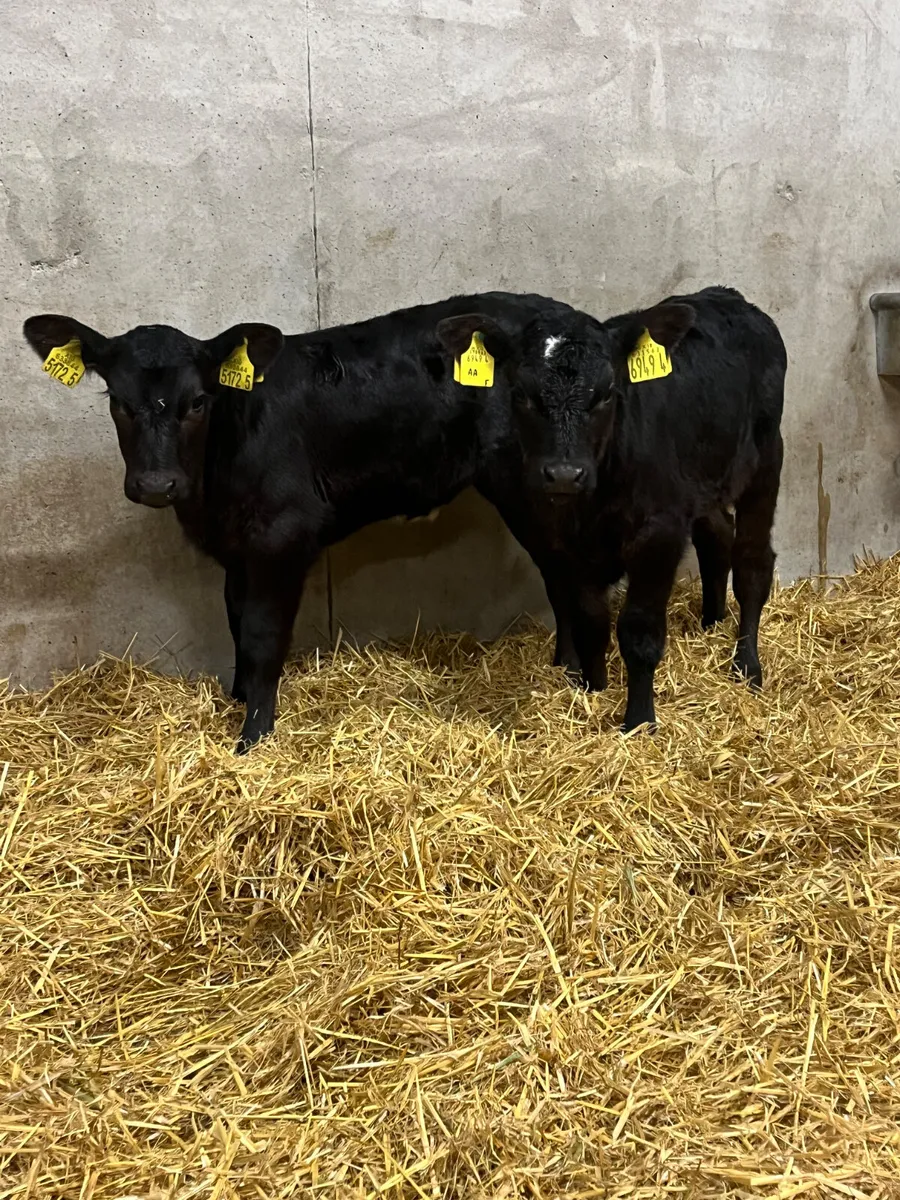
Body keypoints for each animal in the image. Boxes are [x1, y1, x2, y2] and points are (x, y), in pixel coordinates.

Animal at [24, 292, 581, 752]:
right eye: (119, 402)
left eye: (198, 402)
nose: (158, 484)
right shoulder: (237, 550)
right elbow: (236, 622)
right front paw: (237, 699)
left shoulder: (281, 539)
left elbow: (262, 636)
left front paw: (253, 736)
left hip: (534, 486)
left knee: (564, 573)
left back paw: (574, 679)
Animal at [436, 286, 786, 732]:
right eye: (521, 395)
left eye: (605, 395)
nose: (564, 474)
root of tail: (726, 295)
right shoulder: (565, 546)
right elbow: (590, 622)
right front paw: (591, 689)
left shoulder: (658, 532)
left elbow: (638, 630)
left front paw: (639, 720)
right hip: (702, 482)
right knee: (717, 537)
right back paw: (711, 622)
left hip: (765, 460)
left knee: (752, 563)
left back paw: (746, 665)